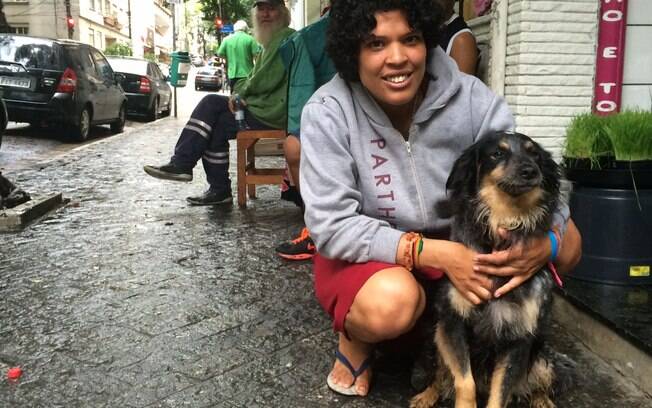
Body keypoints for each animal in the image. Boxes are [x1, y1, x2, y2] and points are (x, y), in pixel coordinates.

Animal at [410, 131, 564, 408]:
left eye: (534, 153)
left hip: (542, 357)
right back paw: (426, 395)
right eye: (497, 153)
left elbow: (500, 392)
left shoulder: (519, 337)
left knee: (539, 382)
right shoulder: (452, 322)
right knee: (439, 375)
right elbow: (464, 381)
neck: (503, 222)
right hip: (435, 337)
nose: (530, 171)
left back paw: (543, 401)